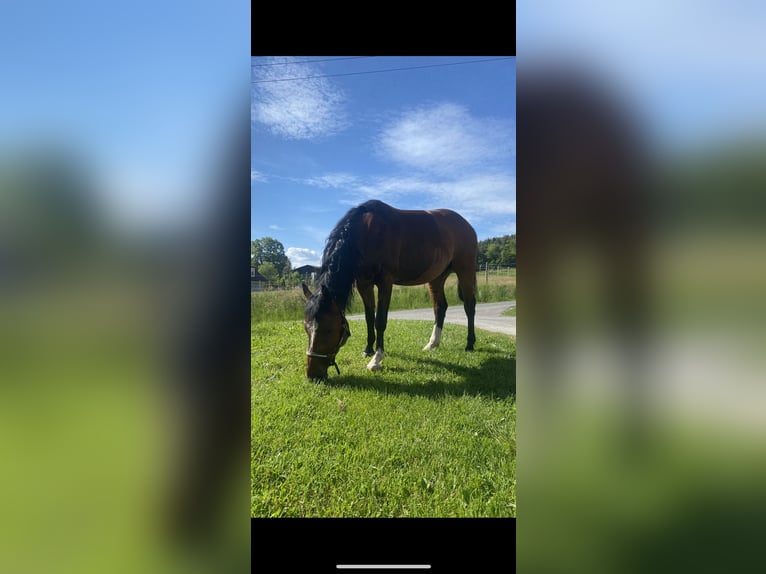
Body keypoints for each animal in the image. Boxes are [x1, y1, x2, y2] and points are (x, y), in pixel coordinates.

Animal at [302, 200, 476, 380]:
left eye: (329, 330)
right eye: (306, 327)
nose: (313, 375)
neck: (366, 233)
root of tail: (467, 225)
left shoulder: (385, 282)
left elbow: (380, 320)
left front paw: (376, 359)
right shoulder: (363, 283)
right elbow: (369, 318)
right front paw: (368, 350)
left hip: (465, 271)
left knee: (469, 306)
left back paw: (469, 344)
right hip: (436, 278)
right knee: (440, 307)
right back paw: (432, 344)